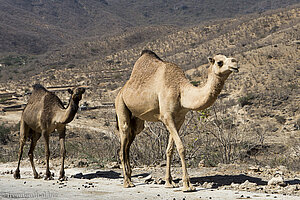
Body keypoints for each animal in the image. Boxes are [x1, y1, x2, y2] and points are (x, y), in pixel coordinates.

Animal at [115, 49, 239, 191]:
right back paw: (127, 182)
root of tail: (121, 91)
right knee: (122, 144)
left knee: (128, 144)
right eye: (220, 62)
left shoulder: (179, 119)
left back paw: (130, 178)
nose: (235, 63)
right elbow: (181, 147)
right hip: (120, 105)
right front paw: (187, 185)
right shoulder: (167, 116)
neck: (181, 91)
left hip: (137, 121)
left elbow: (170, 150)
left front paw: (169, 182)